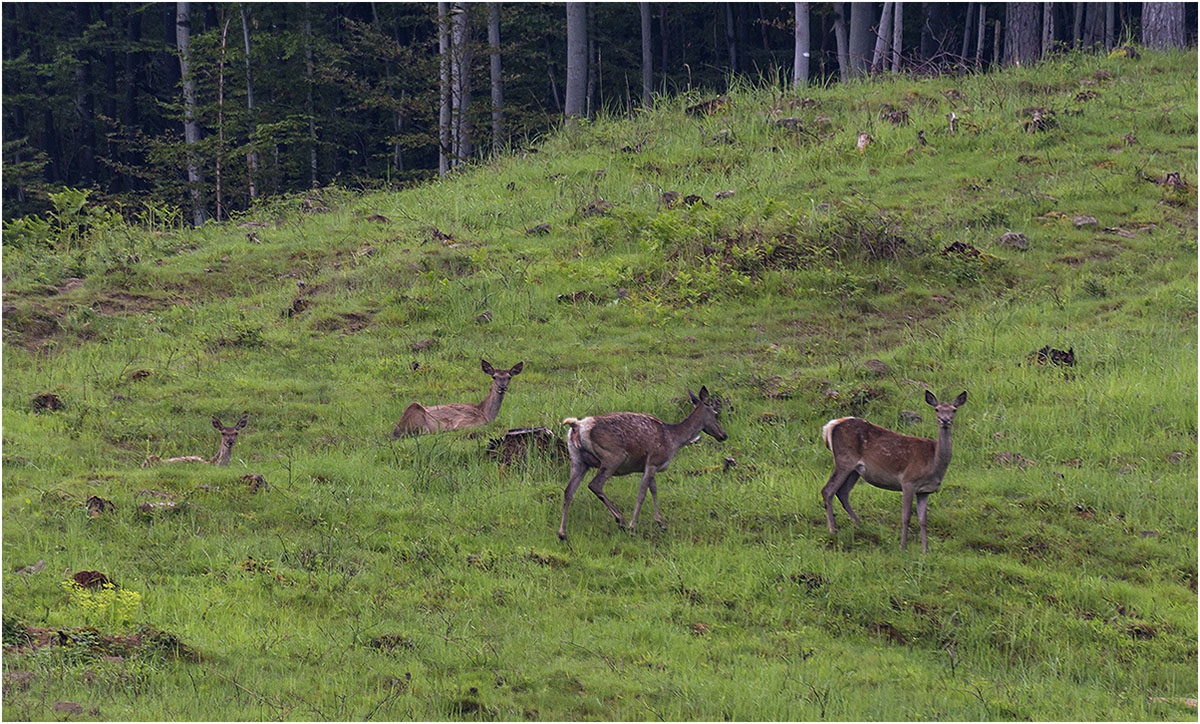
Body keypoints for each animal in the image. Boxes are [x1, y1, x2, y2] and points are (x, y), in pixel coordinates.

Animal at [391, 360, 523, 439]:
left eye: (509, 377)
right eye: (494, 377)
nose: (502, 387)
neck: (485, 413)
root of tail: (395, 430)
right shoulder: (465, 422)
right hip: (416, 413)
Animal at [556, 391, 724, 537]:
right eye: (716, 414)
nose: (724, 435)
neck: (673, 440)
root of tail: (576, 426)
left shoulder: (650, 466)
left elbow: (654, 490)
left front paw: (660, 522)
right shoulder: (653, 460)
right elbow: (642, 493)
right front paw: (633, 526)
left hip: (578, 459)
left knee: (568, 490)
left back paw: (562, 533)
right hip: (613, 457)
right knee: (595, 484)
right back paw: (621, 519)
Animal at [820, 391, 969, 554]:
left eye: (954, 410)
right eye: (937, 409)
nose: (945, 420)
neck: (934, 462)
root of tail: (830, 426)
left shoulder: (924, 491)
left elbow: (923, 520)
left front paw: (925, 550)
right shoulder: (908, 481)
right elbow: (906, 516)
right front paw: (903, 547)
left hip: (855, 470)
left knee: (842, 492)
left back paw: (860, 525)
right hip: (844, 460)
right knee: (828, 490)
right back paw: (833, 530)